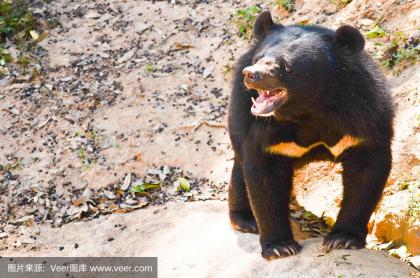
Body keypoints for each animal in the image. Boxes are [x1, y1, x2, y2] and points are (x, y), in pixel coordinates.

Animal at [228, 10, 392, 258]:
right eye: (259, 58)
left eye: (285, 66)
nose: (252, 74)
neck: (308, 109)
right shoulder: (262, 130)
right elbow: (264, 176)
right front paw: (280, 247)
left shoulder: (363, 116)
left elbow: (366, 171)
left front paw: (343, 238)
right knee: (240, 167)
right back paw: (246, 220)